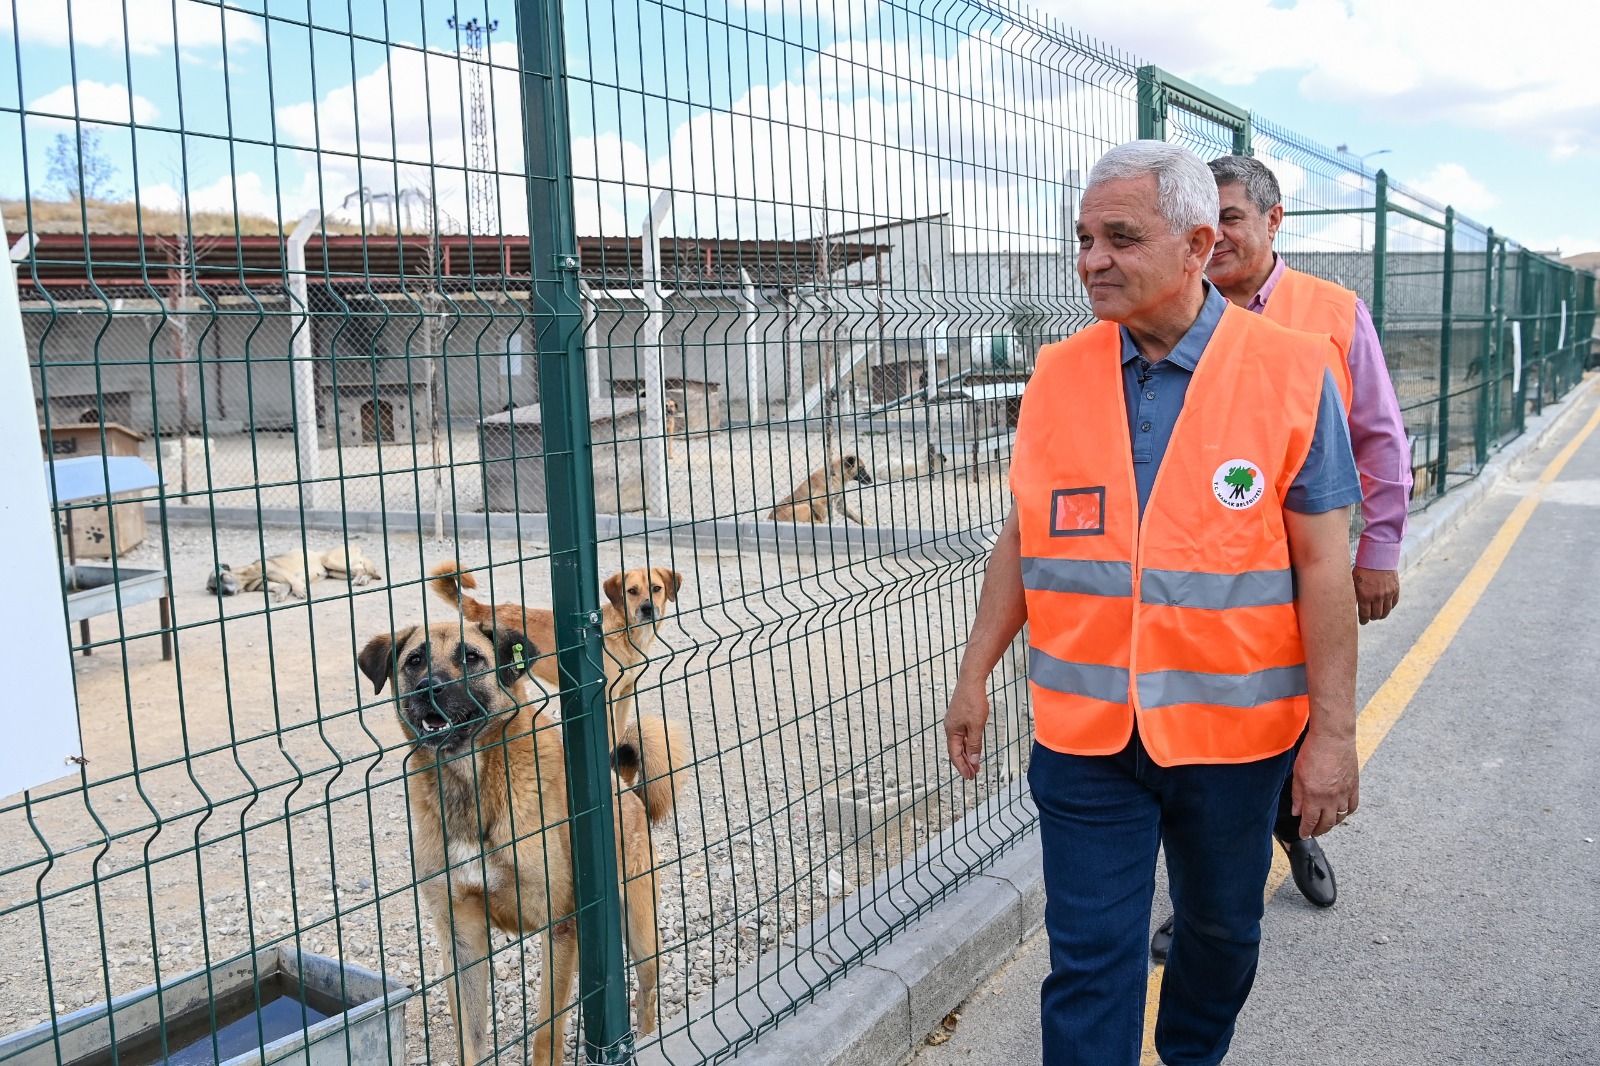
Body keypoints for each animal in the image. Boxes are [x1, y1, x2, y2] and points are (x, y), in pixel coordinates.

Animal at [216, 547, 384, 598]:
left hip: (331, 561)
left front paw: (299, 591)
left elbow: (293, 582)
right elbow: (282, 587)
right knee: (366, 571)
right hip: (334, 572)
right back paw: (363, 580)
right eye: (213, 588)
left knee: (362, 569)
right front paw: (282, 594)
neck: (245, 577)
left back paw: (359, 580)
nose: (226, 592)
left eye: (222, 577)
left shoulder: (283, 572)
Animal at [356, 617, 681, 1056]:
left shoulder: (560, 928)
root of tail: (625, 789)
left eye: (471, 657)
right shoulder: (461, 939)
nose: (428, 688)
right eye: (415, 660)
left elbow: (546, 1031)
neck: (472, 788)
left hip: (641, 935)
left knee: (647, 992)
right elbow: (470, 1037)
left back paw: (648, 1039)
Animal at [425, 560, 681, 742]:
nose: (647, 609)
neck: (625, 633)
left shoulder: (627, 692)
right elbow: (609, 737)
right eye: (632, 591)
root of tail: (486, 610)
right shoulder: (606, 695)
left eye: (656, 588)